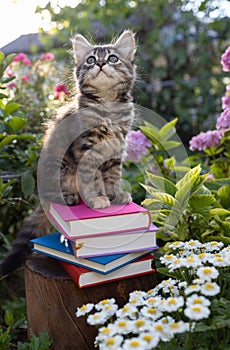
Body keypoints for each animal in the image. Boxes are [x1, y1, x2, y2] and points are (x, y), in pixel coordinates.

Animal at [0, 30, 137, 276]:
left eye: (113, 58)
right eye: (90, 60)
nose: (100, 63)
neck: (108, 109)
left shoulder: (115, 151)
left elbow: (113, 177)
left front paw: (116, 195)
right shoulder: (86, 149)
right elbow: (94, 179)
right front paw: (97, 199)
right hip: (59, 169)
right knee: (58, 193)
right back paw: (71, 197)